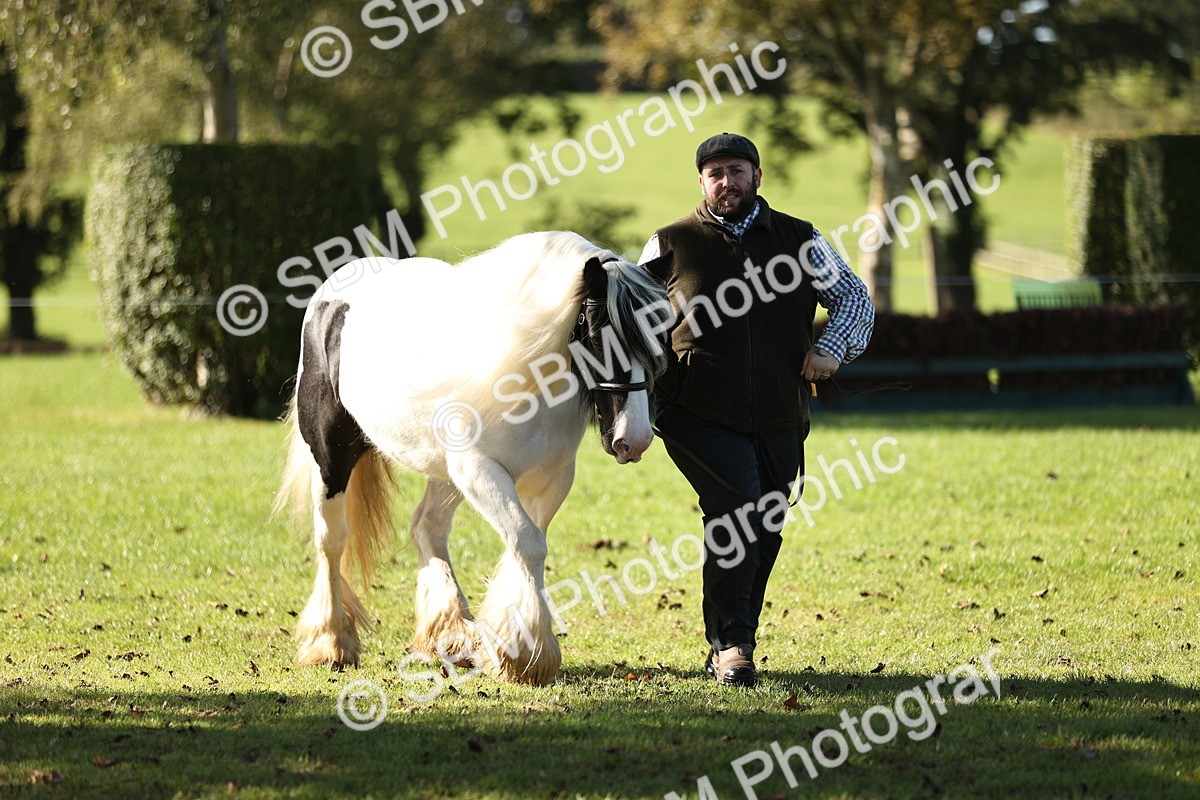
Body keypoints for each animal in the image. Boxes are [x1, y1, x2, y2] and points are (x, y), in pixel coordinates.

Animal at [275, 231, 674, 685]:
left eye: (661, 334)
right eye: (599, 335)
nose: (634, 440)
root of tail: (329, 298)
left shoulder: (550, 478)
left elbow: (527, 543)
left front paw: (514, 644)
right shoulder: (480, 471)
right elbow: (527, 543)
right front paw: (528, 655)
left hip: (443, 475)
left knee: (428, 528)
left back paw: (449, 634)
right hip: (331, 456)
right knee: (332, 540)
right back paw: (331, 643)